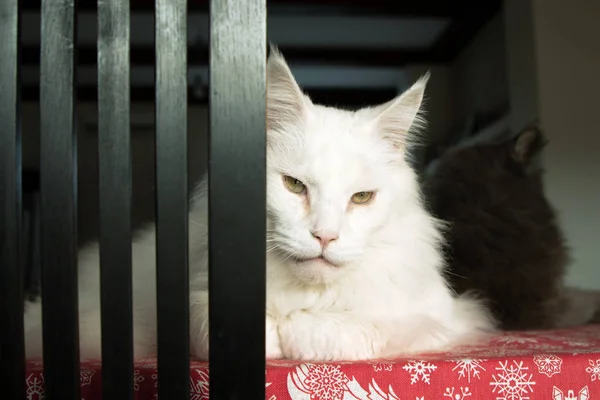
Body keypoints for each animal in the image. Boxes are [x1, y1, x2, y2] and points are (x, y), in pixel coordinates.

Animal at [23, 48, 494, 360]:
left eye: (361, 198)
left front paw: (297, 330)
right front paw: (272, 332)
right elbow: (211, 325)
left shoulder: (445, 316)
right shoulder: (186, 302)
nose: (324, 236)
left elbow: (356, 330)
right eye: (294, 185)